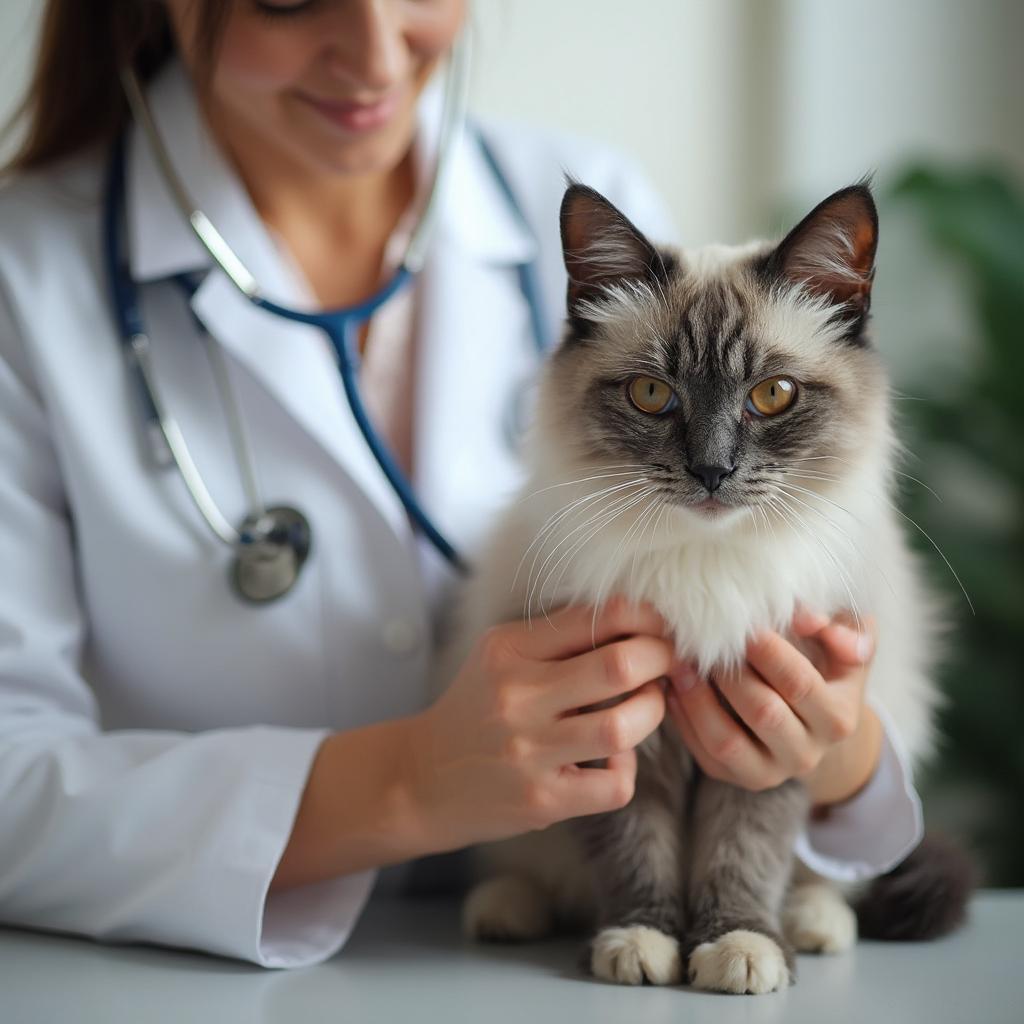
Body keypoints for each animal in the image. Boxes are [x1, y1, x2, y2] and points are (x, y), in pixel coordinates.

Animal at [436, 178, 970, 991]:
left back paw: (814, 926)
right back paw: (506, 911)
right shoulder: (616, 732)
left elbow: (743, 855)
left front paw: (737, 950)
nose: (712, 471)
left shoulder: (769, 741)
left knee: (824, 879)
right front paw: (641, 945)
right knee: (533, 871)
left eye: (773, 394)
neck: (705, 566)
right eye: (652, 394)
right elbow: (635, 851)